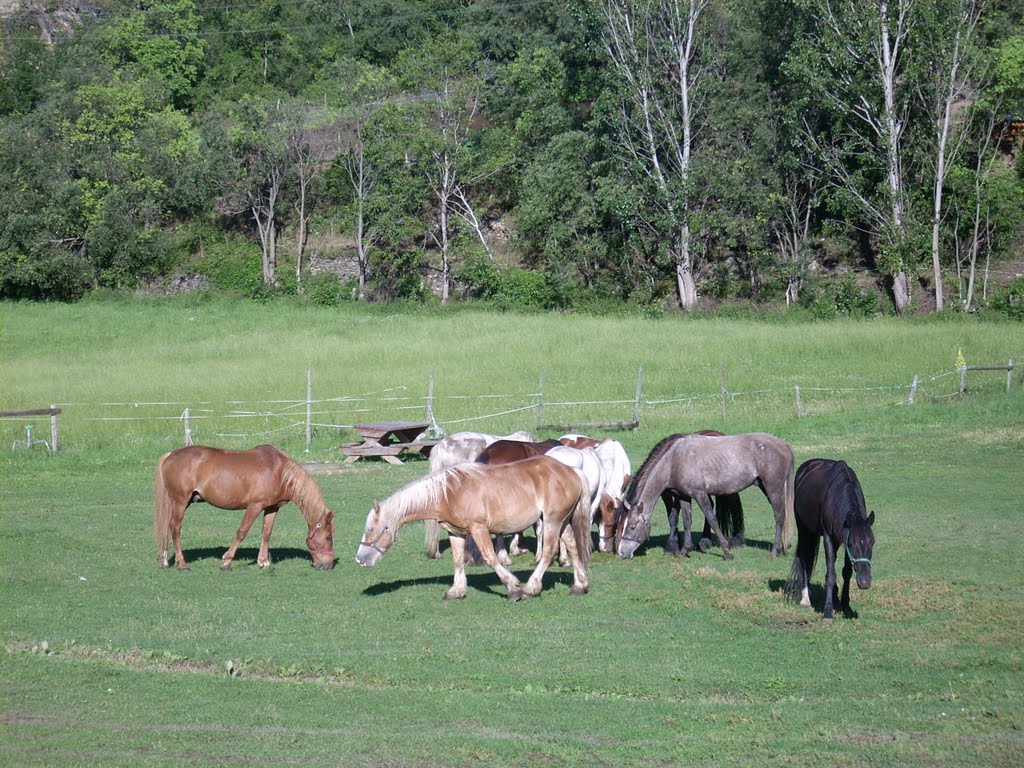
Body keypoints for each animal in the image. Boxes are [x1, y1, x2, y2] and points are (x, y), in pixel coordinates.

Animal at [153, 444, 335, 573]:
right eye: (328, 537)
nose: (328, 565)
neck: (279, 471)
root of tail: (170, 455)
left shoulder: (272, 508)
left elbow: (266, 533)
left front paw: (263, 561)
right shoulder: (254, 506)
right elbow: (242, 532)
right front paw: (226, 562)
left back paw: (165, 561)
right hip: (180, 502)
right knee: (175, 528)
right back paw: (182, 564)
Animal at [356, 456, 593, 602]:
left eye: (371, 529)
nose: (360, 559)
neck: (449, 493)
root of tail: (571, 470)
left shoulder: (478, 529)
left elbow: (490, 558)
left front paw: (512, 588)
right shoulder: (455, 532)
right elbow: (457, 560)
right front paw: (456, 590)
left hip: (553, 521)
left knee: (548, 552)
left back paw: (531, 588)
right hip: (563, 522)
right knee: (573, 547)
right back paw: (580, 585)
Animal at [610, 434, 794, 561]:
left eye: (632, 527)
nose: (622, 553)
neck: (674, 461)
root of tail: (784, 445)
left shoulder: (700, 494)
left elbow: (712, 519)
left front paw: (727, 552)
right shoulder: (684, 496)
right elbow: (687, 521)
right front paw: (684, 550)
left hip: (773, 488)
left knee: (779, 516)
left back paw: (774, 552)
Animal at [786, 460, 876, 622]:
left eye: (872, 542)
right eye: (852, 544)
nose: (865, 582)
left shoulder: (843, 538)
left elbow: (846, 572)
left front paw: (846, 605)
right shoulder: (829, 537)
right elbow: (830, 574)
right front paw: (827, 612)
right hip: (804, 530)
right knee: (804, 558)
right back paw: (805, 598)